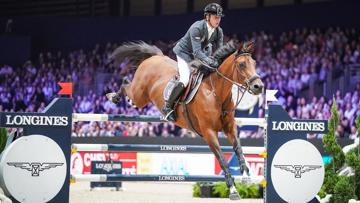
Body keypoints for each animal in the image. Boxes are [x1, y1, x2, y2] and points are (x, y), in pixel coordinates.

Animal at [108, 40, 262, 200]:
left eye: (254, 63)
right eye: (241, 64)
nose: (259, 86)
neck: (215, 92)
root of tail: (155, 57)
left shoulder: (230, 128)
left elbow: (239, 149)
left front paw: (246, 176)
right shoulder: (209, 132)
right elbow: (222, 160)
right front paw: (233, 190)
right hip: (140, 95)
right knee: (126, 83)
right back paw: (114, 96)